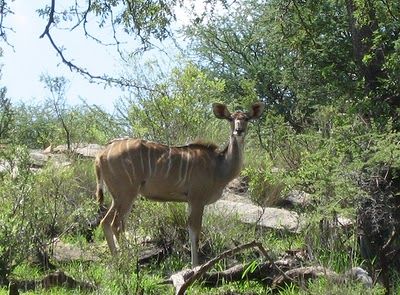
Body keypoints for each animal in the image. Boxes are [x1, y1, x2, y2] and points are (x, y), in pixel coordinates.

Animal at [95, 102, 264, 266]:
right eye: (230, 118)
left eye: (246, 118)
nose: (239, 130)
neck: (219, 165)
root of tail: (101, 154)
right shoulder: (197, 199)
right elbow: (195, 232)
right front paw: (195, 267)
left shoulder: (190, 201)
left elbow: (190, 230)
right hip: (127, 194)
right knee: (116, 225)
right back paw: (127, 263)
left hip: (118, 197)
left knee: (105, 222)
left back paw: (118, 262)